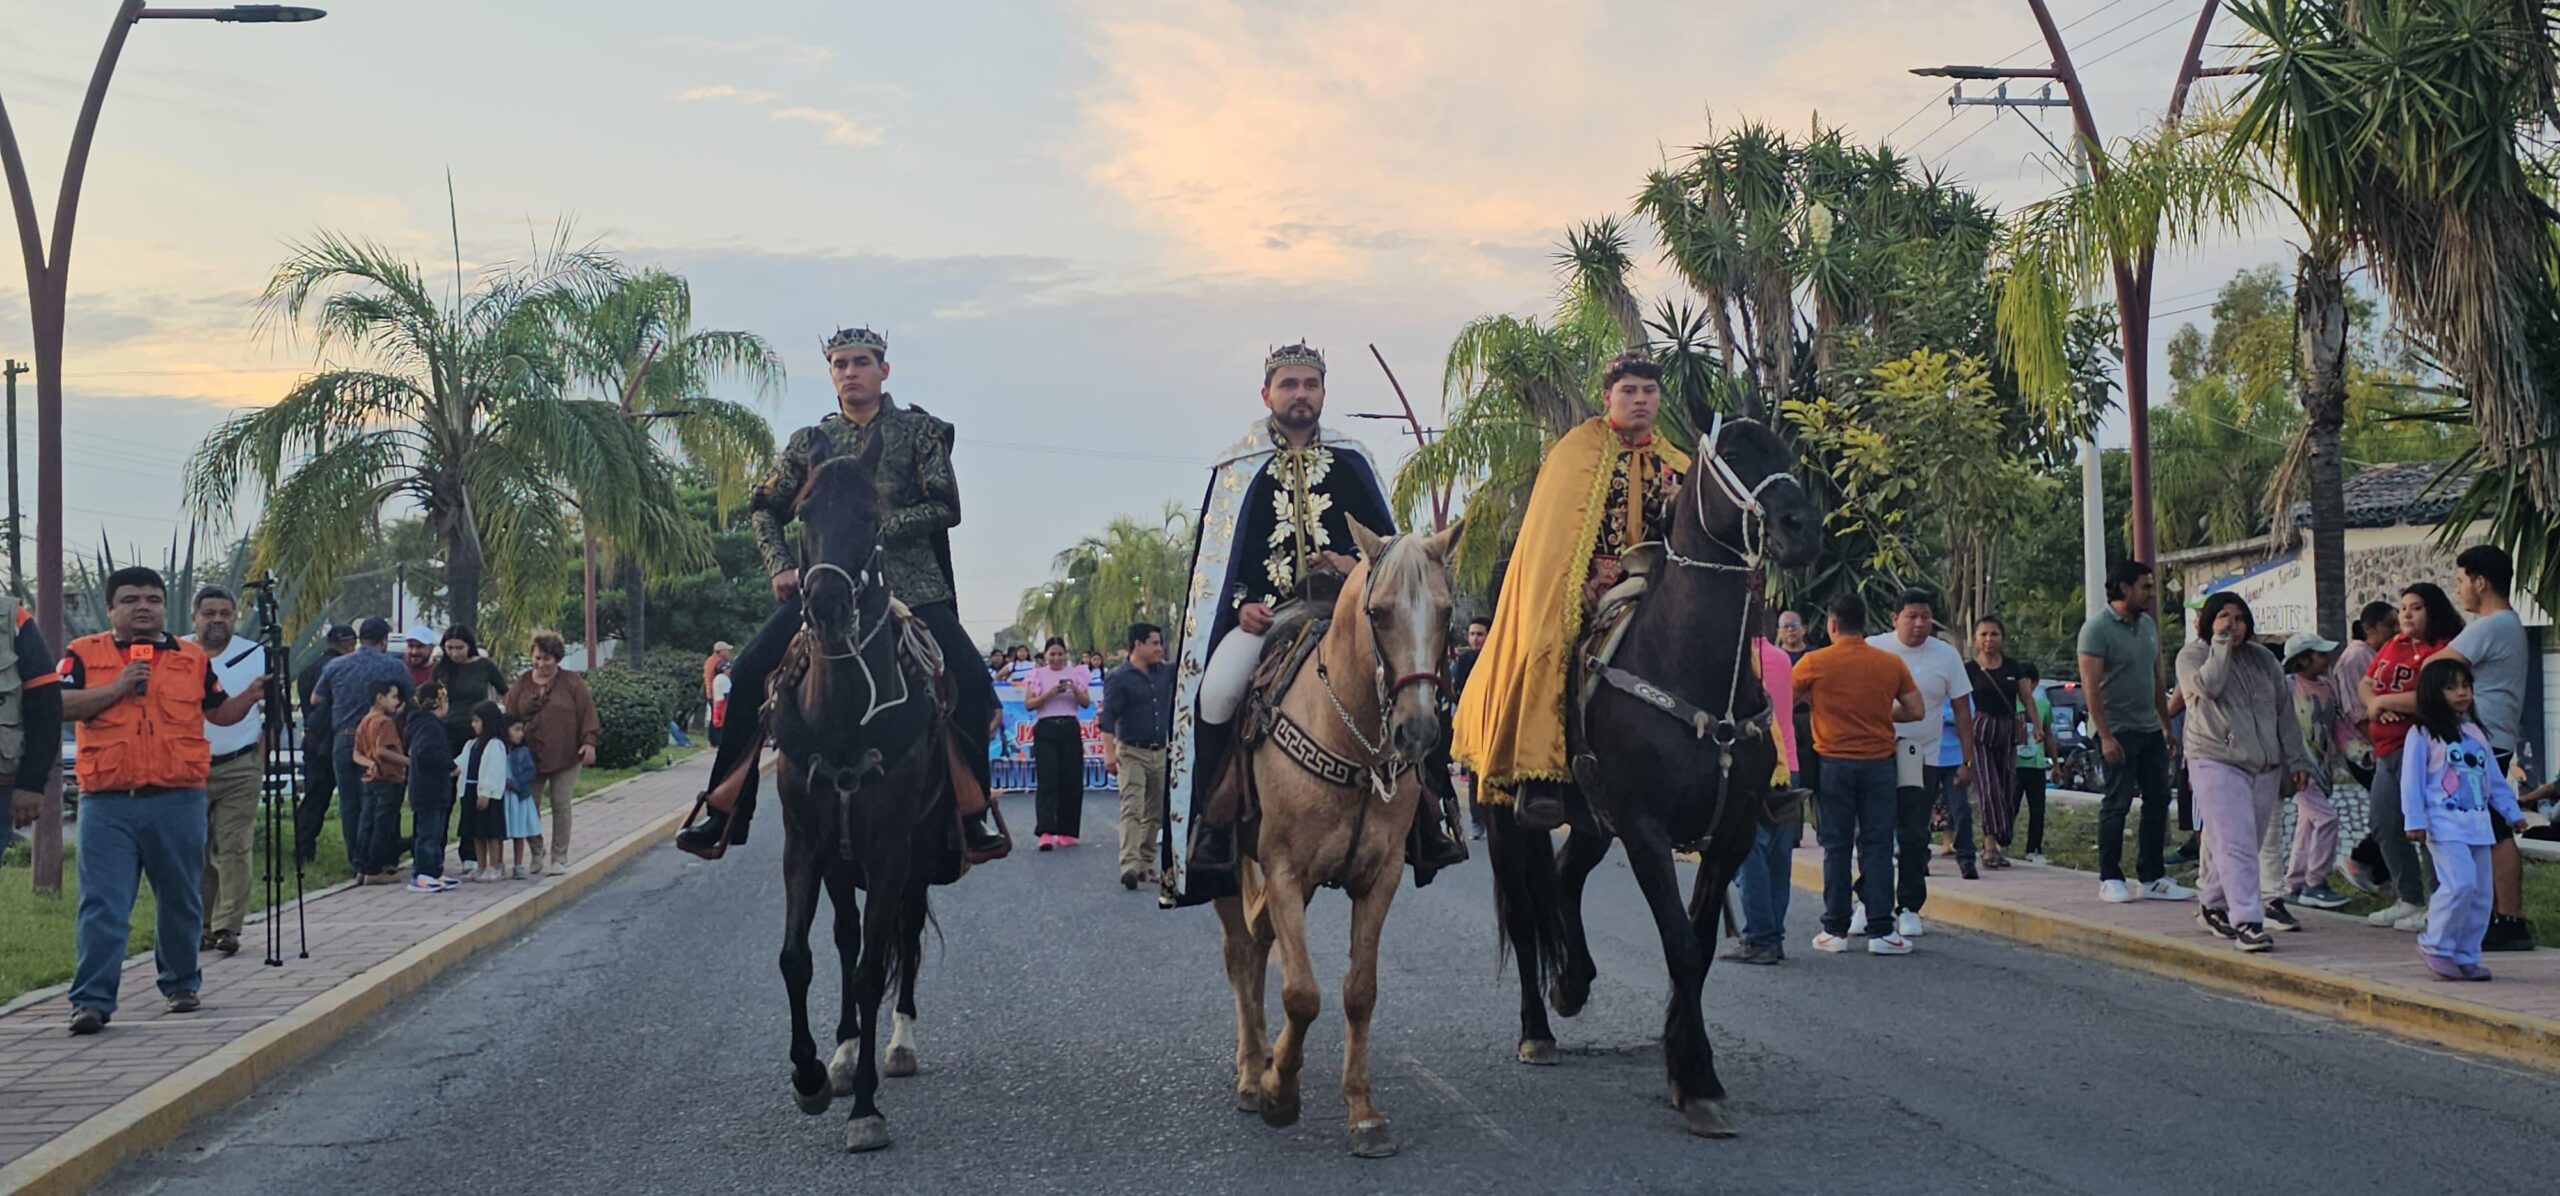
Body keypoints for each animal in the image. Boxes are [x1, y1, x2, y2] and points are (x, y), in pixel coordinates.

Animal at [768, 430, 962, 1152]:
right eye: (802, 512)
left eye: (874, 519)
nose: (825, 604)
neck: (843, 718)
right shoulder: (804, 844)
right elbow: (799, 958)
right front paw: (812, 1076)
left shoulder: (889, 850)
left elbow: (875, 965)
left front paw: (867, 1111)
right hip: (838, 861)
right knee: (847, 937)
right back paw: (847, 1054)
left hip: (918, 853)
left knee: (898, 936)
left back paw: (898, 1044)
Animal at [1213, 522, 1464, 1162]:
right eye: (1378, 613)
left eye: (1447, 612)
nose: (1417, 731)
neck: (1353, 746)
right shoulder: (1283, 871)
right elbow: (1303, 992)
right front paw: (1279, 1092)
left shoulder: (1379, 877)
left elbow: (1359, 991)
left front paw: (1363, 1112)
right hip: (1227, 870)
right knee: (1240, 951)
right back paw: (1251, 1071)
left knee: (1258, 945)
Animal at [1484, 414, 1822, 1142]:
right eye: (1732, 454)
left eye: (1783, 449)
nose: (1802, 526)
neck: (1693, 666)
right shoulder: (1646, 830)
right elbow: (1680, 945)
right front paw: (1697, 1081)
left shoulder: (1731, 832)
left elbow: (1698, 945)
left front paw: (1681, 1063)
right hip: (1502, 811)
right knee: (1525, 912)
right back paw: (1536, 1029)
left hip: (1591, 820)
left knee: (1564, 878)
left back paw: (1574, 980)